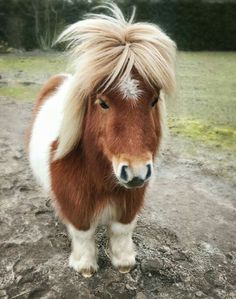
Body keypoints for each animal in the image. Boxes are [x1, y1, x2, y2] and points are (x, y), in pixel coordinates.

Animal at [27, 2, 175, 278]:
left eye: (153, 100)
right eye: (103, 102)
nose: (136, 171)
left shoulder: (130, 201)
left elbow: (122, 231)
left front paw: (124, 262)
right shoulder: (75, 204)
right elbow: (83, 233)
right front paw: (85, 266)